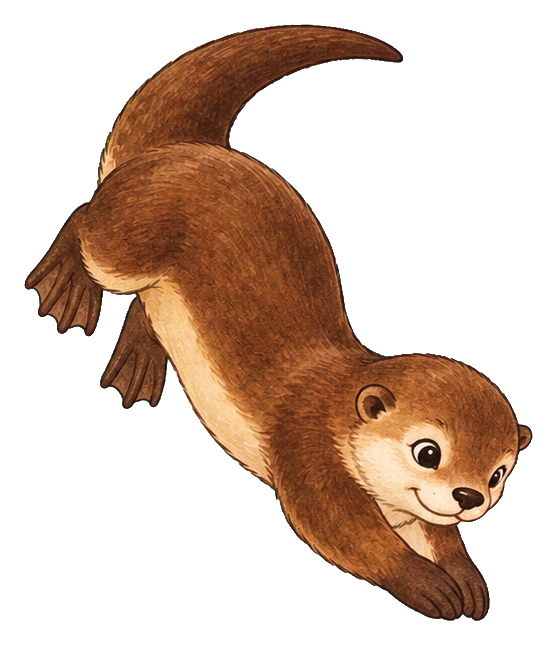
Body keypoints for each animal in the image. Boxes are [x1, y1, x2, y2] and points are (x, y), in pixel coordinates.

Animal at [26, 27, 531, 619]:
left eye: (498, 472)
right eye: (428, 452)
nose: (469, 496)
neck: (336, 413)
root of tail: (182, 149)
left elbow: (436, 532)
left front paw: (465, 574)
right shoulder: (306, 449)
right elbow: (340, 530)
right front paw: (428, 583)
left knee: (145, 308)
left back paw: (138, 366)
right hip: (128, 238)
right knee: (85, 221)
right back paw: (66, 288)